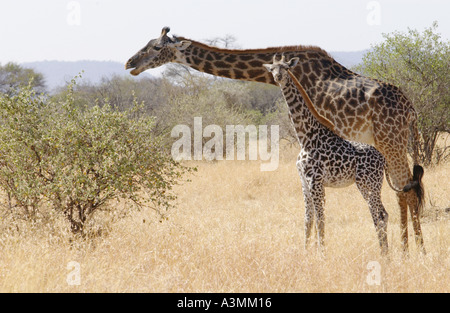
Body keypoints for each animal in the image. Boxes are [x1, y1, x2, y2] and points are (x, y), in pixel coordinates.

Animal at [126, 26, 426, 251]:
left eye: (156, 47)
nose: (131, 63)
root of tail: (411, 109)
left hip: (390, 140)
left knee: (406, 192)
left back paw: (412, 252)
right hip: (392, 143)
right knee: (405, 189)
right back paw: (408, 250)